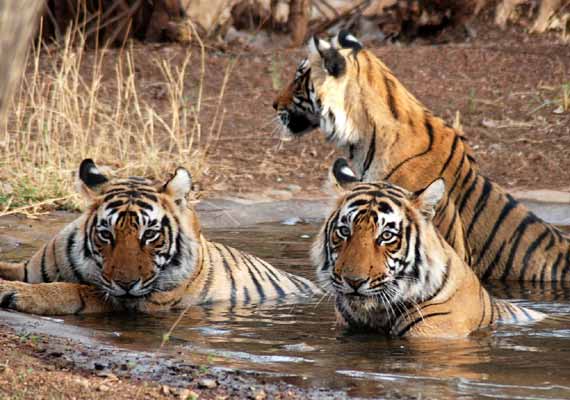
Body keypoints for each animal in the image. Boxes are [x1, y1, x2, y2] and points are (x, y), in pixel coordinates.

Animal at [0, 158, 320, 314]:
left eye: (150, 235)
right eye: (106, 234)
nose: (126, 284)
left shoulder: (132, 300)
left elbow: (74, 290)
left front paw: (14, 293)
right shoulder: (27, 268)